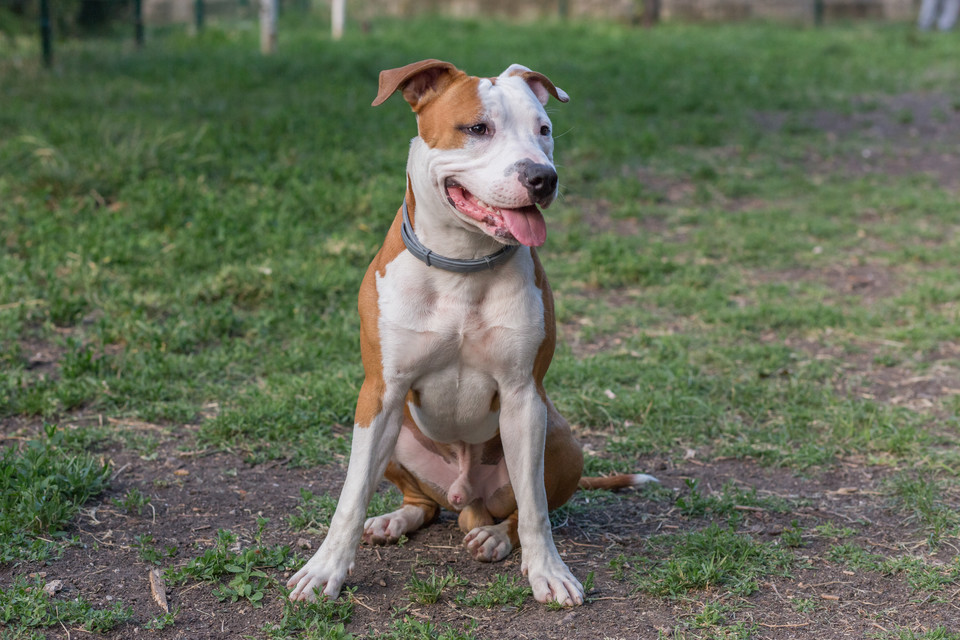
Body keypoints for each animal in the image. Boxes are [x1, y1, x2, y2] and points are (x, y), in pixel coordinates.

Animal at [288, 62, 656, 608]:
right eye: (478, 128)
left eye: (543, 130)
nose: (543, 177)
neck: (463, 263)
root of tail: (466, 496)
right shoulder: (379, 393)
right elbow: (351, 496)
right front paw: (325, 570)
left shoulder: (524, 396)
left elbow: (536, 508)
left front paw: (548, 572)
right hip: (396, 433)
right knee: (421, 502)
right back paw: (394, 519)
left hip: (559, 437)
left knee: (518, 508)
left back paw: (493, 536)